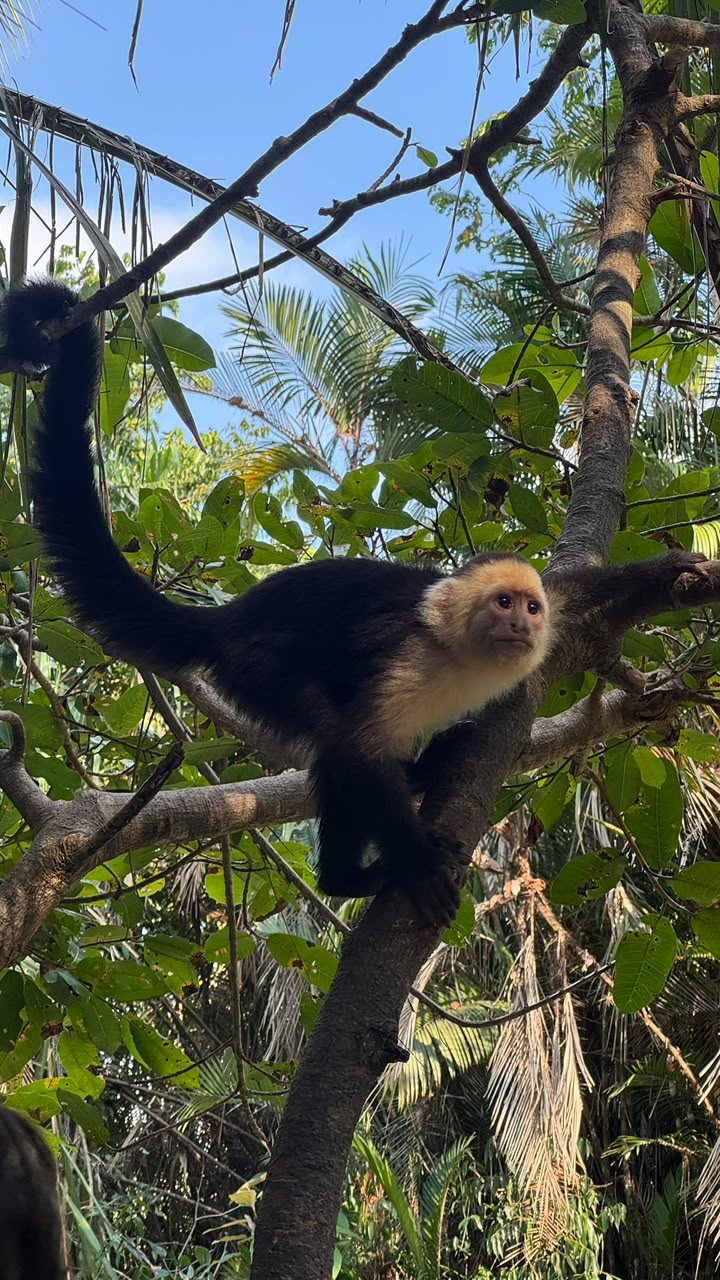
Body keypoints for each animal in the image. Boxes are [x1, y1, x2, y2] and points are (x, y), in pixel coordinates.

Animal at [0, 280, 708, 925]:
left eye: (530, 607)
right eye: (502, 602)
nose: (521, 624)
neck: (464, 657)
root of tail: (228, 617)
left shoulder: (550, 610)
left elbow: (583, 592)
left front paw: (666, 573)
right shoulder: (412, 657)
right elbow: (359, 749)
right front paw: (416, 862)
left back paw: (424, 772)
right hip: (255, 664)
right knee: (332, 740)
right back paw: (346, 876)